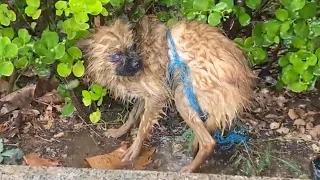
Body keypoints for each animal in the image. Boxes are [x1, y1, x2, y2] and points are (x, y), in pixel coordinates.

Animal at [77, 15, 255, 173]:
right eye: (116, 55)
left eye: (132, 47)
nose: (137, 63)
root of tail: (243, 86)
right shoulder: (147, 95)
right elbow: (133, 115)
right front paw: (120, 131)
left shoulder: (157, 95)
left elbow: (143, 127)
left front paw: (134, 150)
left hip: (182, 96)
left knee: (208, 142)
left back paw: (190, 168)